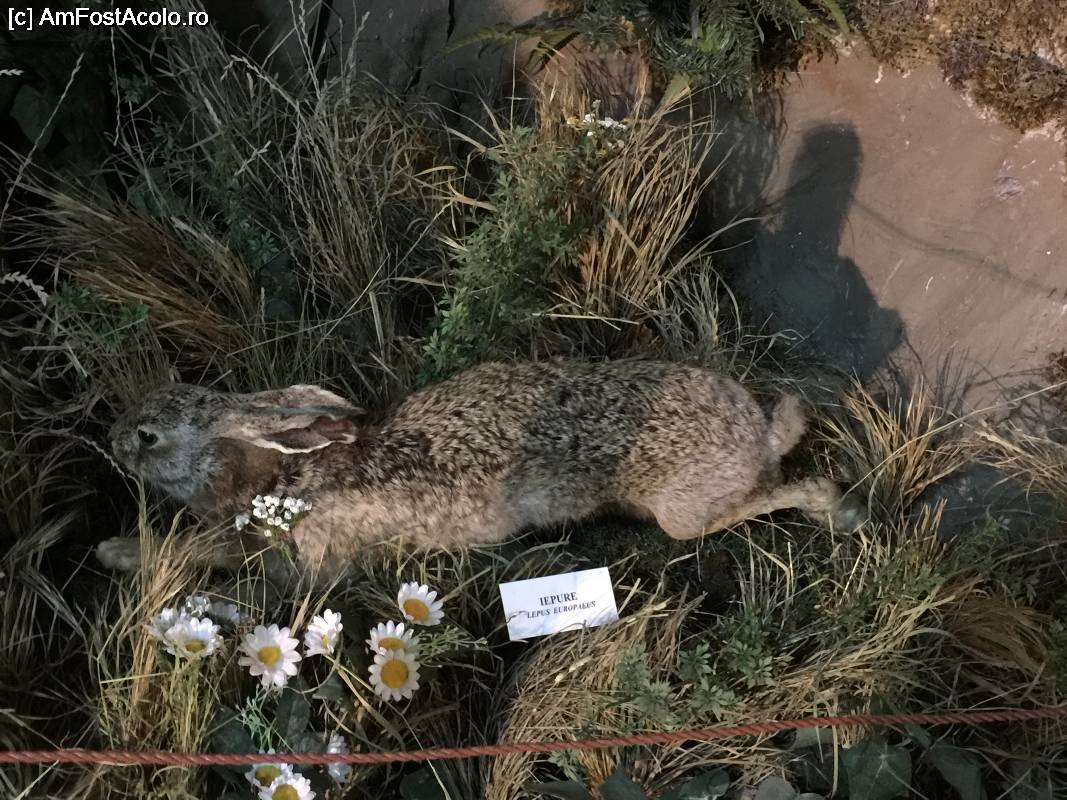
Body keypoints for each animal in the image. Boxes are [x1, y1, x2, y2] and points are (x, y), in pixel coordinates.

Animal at [98, 359, 865, 579]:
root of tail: (757, 436)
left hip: (684, 510)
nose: (111, 440)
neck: (276, 481)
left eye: (149, 436)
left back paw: (839, 510)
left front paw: (116, 552)